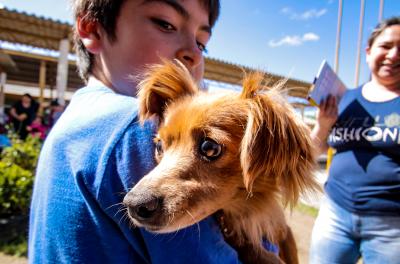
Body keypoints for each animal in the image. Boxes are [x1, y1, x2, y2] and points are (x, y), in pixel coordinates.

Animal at [122, 60, 318, 264]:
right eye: (159, 146)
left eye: (210, 147)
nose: (134, 204)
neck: (248, 210)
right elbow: (256, 250)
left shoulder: (282, 228)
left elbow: (288, 242)